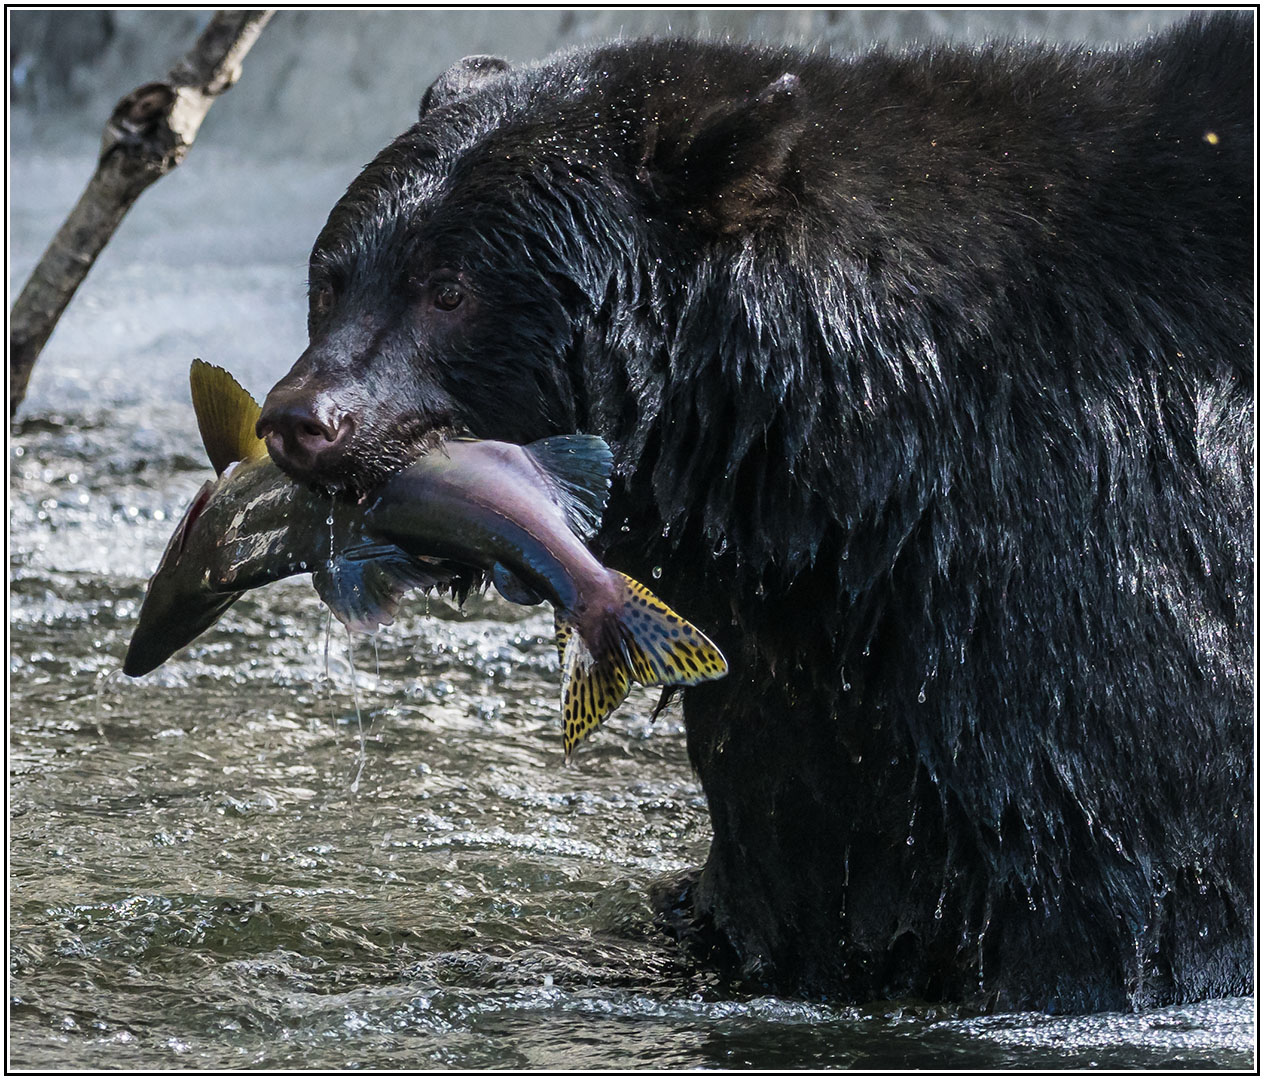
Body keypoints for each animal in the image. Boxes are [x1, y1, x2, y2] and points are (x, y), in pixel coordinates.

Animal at [259, 10, 1253, 1016]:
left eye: (450, 289)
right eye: (332, 280)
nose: (301, 421)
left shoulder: (1077, 563)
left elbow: (1112, 868)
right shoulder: (813, 683)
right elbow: (794, 862)